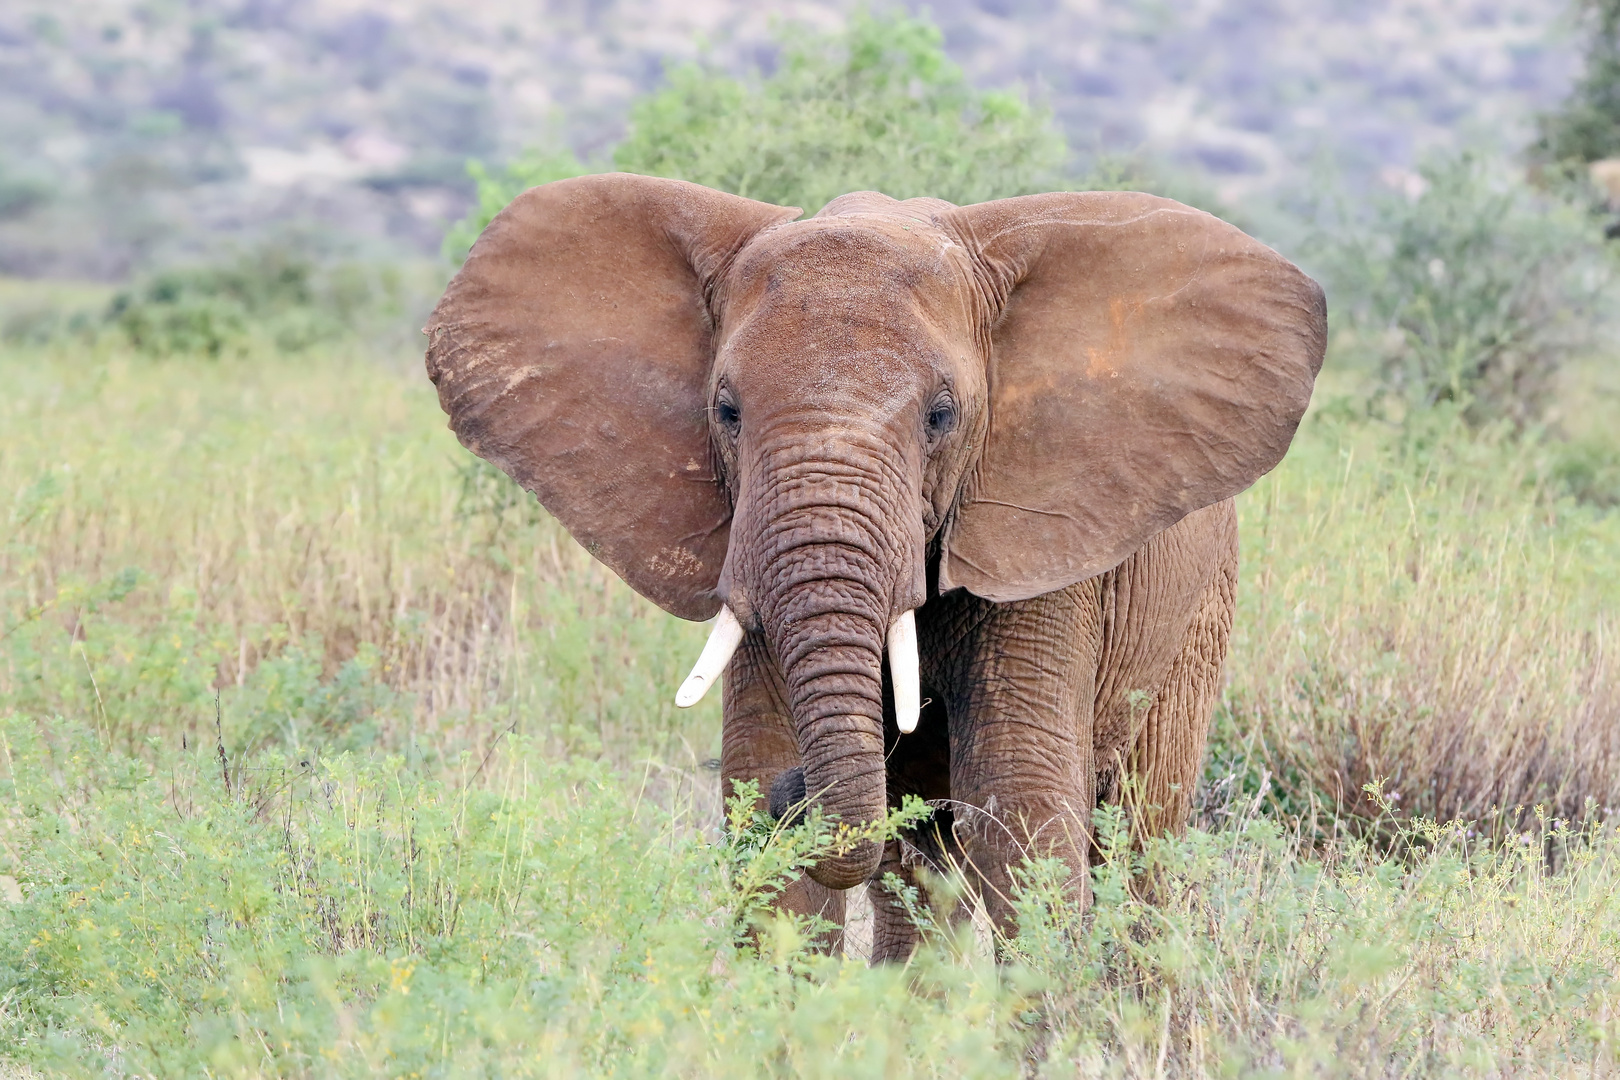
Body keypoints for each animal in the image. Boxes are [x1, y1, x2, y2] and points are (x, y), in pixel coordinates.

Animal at [424, 175, 1321, 965]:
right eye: (726, 410)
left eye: (942, 415)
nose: (800, 791)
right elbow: (766, 814)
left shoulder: (1036, 543)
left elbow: (1019, 809)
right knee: (925, 873)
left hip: (1199, 610)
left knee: (1138, 839)